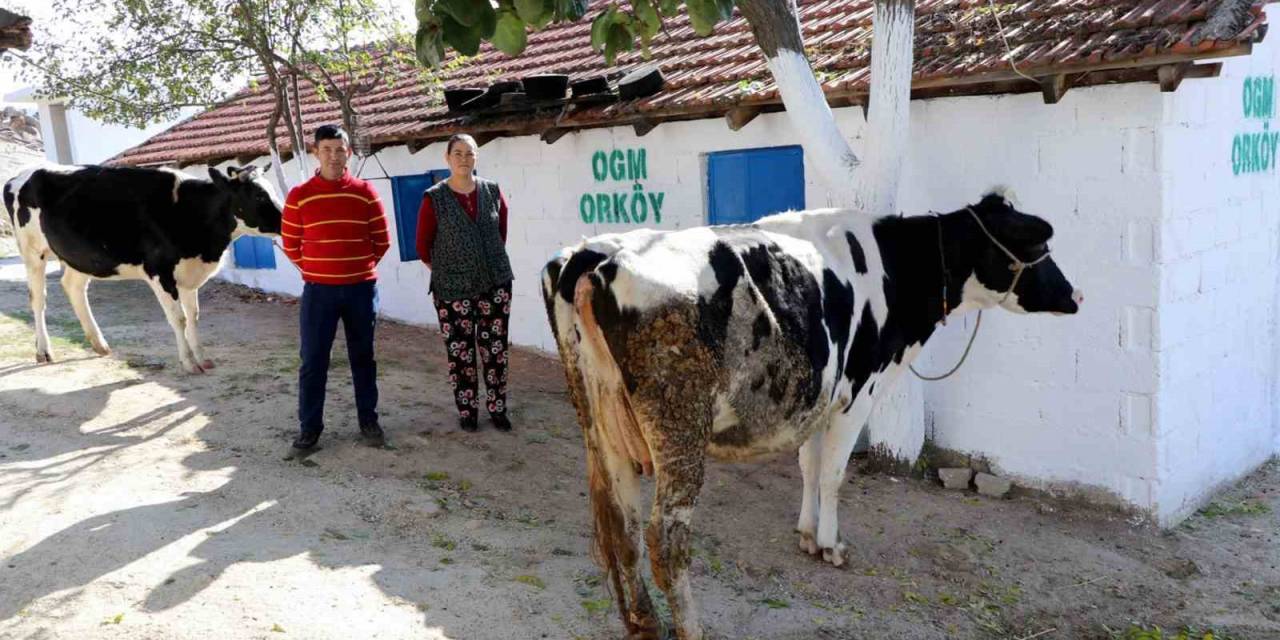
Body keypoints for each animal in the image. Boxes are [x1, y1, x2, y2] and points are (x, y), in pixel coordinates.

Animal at [2, 163, 282, 373]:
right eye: (259, 195)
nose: (285, 220)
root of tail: (18, 177)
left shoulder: (189, 274)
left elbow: (193, 316)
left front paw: (202, 358)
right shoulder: (160, 272)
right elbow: (179, 319)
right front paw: (189, 363)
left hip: (79, 257)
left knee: (73, 287)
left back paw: (99, 344)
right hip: (32, 252)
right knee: (38, 299)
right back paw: (44, 351)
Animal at [540, 190, 1080, 640]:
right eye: (1040, 245)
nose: (1075, 295)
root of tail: (596, 254)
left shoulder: (816, 398)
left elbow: (807, 465)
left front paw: (805, 532)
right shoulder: (858, 392)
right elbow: (832, 474)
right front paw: (829, 544)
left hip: (602, 426)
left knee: (623, 525)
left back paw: (642, 624)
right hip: (678, 426)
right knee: (665, 538)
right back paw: (690, 628)